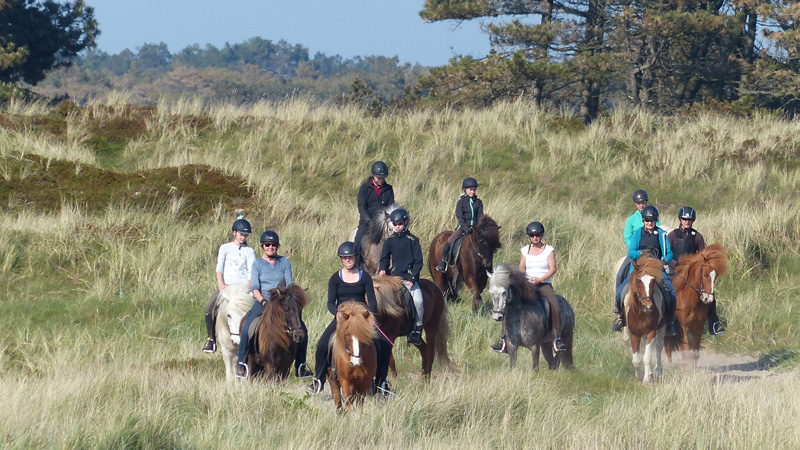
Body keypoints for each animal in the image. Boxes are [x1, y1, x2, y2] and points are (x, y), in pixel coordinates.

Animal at [620, 255, 667, 384]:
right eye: (638, 281)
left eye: (652, 281)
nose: (648, 306)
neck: (640, 313)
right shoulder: (634, 333)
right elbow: (636, 360)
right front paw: (640, 376)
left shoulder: (651, 332)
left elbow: (647, 357)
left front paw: (646, 380)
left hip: (662, 328)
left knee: (658, 347)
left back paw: (658, 373)